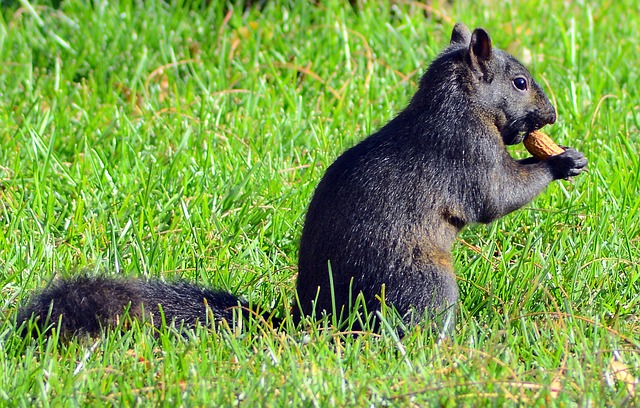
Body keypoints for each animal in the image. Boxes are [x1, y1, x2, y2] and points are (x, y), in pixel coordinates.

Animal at [16, 23, 584, 338]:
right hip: (422, 283)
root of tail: (315, 316)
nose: (552, 115)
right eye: (520, 82)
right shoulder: (466, 152)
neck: (460, 104)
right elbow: (496, 196)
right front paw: (560, 163)